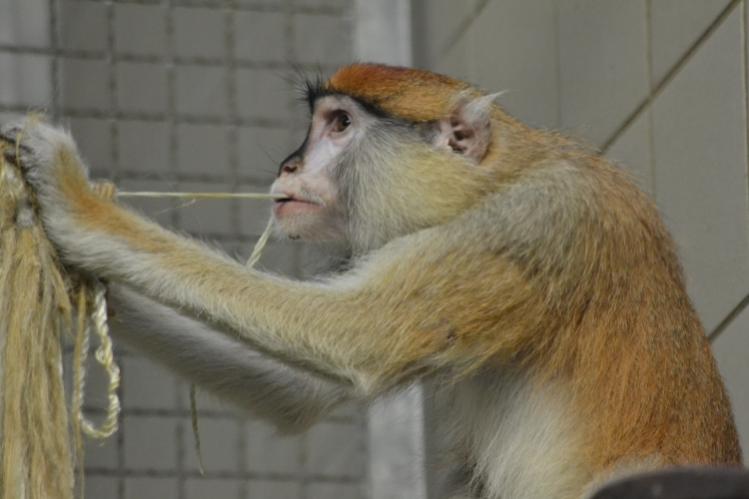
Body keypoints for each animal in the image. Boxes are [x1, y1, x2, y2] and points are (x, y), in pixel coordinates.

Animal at [0, 63, 741, 499]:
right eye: (319, 121)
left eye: (339, 124)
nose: (289, 165)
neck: (495, 177)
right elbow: (305, 387)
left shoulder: (531, 227)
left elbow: (355, 336)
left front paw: (73, 201)